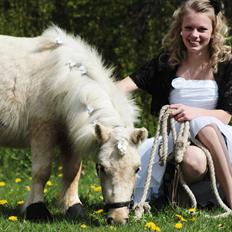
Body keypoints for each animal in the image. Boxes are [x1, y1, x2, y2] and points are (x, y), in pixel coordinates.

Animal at [0, 26, 147, 224]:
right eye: (101, 167)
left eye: (137, 168)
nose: (117, 219)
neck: (58, 81)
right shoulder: (42, 132)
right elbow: (42, 172)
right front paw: (36, 209)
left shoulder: (71, 137)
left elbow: (72, 172)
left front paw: (72, 207)